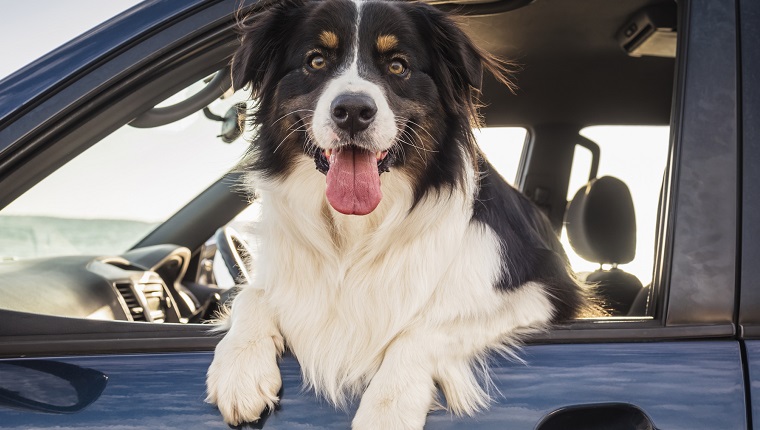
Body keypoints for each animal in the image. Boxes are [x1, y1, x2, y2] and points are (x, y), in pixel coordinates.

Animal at [205, 1, 584, 428]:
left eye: (398, 65)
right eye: (316, 60)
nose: (353, 110)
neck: (356, 232)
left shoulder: (545, 290)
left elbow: (423, 328)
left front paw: (386, 408)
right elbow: (251, 294)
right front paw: (240, 370)